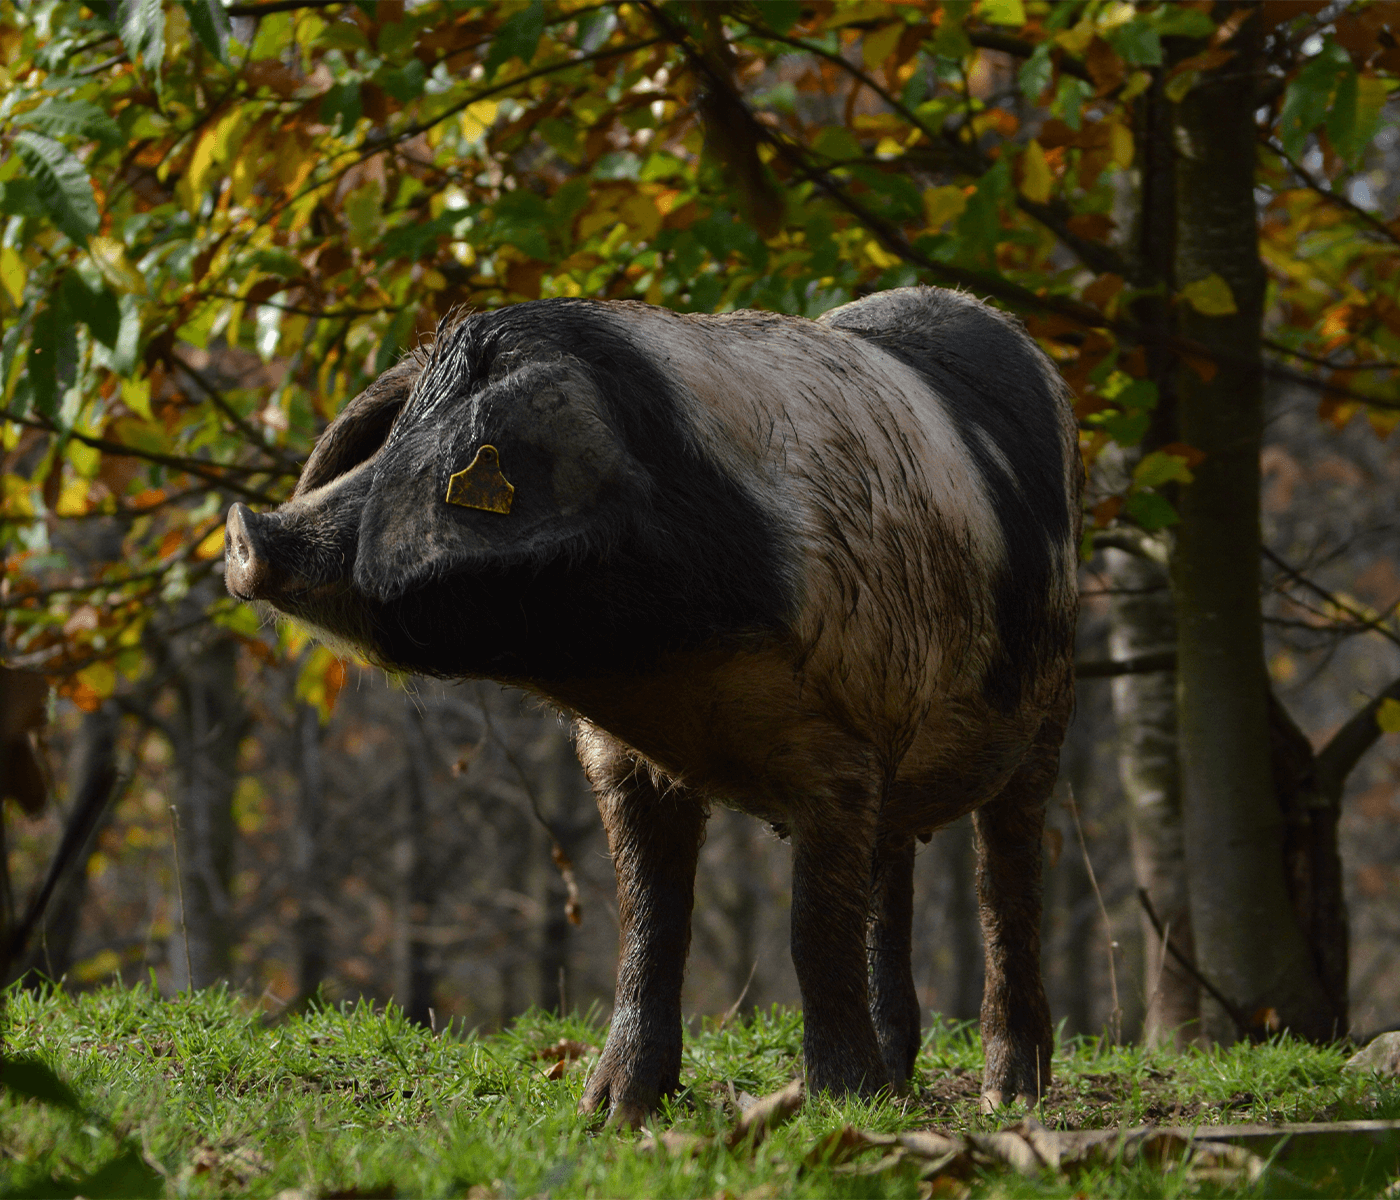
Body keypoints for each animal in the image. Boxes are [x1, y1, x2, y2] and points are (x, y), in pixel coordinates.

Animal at [226, 285, 1080, 1125]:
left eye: (434, 455)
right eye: (394, 433)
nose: (245, 528)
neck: (660, 667)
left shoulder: (840, 742)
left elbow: (812, 929)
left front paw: (844, 1107)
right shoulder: (624, 756)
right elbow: (649, 917)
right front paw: (612, 1112)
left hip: (1049, 705)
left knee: (1006, 882)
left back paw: (1009, 1097)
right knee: (892, 873)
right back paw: (902, 1084)